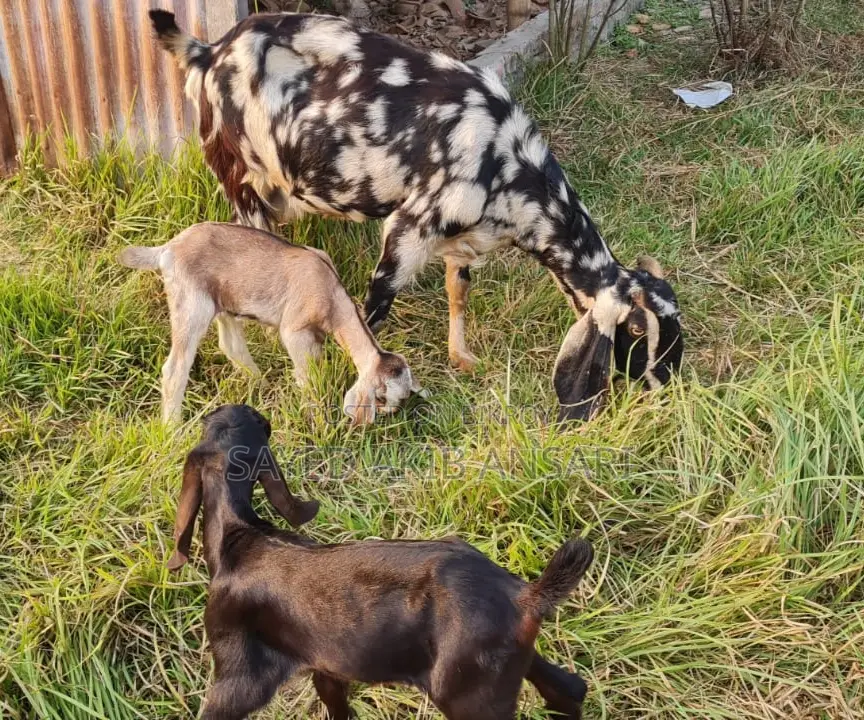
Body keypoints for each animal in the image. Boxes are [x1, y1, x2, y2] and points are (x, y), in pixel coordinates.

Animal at [118, 222, 422, 425]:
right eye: (380, 398)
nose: (385, 416)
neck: (333, 297)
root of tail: (168, 249)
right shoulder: (295, 330)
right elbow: (308, 375)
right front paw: (314, 413)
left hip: (224, 303)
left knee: (230, 345)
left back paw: (261, 385)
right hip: (192, 303)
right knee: (175, 368)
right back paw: (173, 428)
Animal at [148, 9, 684, 422]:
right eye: (638, 330)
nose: (667, 386)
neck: (507, 162)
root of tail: (208, 51)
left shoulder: (462, 239)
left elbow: (457, 292)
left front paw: (461, 358)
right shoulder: (411, 226)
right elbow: (375, 307)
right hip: (237, 171)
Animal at [169, 403, 594, 720]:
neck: (238, 538)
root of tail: (524, 595)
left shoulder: (237, 676)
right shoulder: (326, 669)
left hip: (470, 696)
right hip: (512, 665)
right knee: (570, 690)